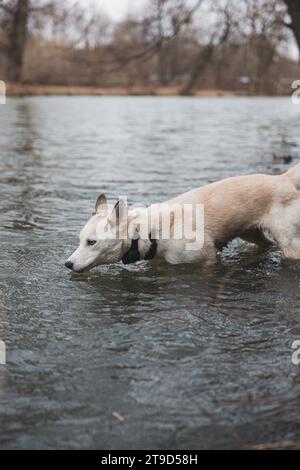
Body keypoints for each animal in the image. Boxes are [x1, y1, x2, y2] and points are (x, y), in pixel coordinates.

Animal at [65, 163, 300, 272]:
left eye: (91, 242)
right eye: (80, 240)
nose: (67, 264)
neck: (149, 232)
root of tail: (284, 178)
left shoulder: (208, 257)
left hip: (288, 242)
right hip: (250, 233)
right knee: (266, 245)